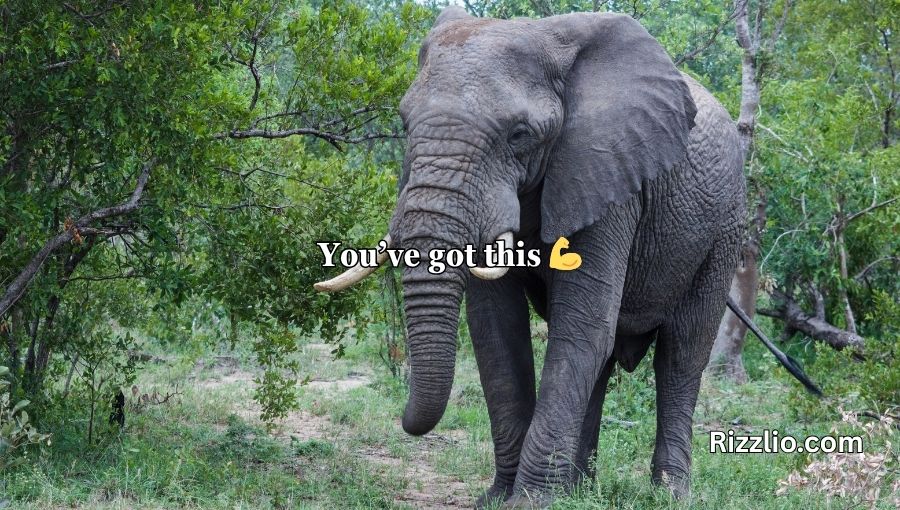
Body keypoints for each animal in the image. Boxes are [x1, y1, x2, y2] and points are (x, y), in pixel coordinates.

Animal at [316, 7, 748, 508]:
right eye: (404, 124)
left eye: (519, 135)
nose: (405, 420)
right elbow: (496, 332)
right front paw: (499, 498)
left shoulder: (608, 174)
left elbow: (581, 327)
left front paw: (531, 501)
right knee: (605, 360)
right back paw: (580, 489)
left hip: (724, 227)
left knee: (681, 352)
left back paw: (668, 494)